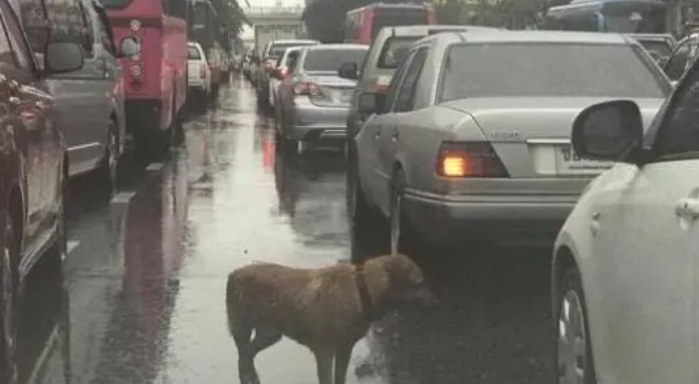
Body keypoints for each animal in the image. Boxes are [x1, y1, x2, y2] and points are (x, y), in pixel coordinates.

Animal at [228, 255, 438, 384]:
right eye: (419, 283)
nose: (436, 303)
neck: (361, 291)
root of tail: (235, 273)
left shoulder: (345, 350)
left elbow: (340, 378)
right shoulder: (324, 353)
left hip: (269, 335)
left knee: (246, 358)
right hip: (243, 329)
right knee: (242, 359)